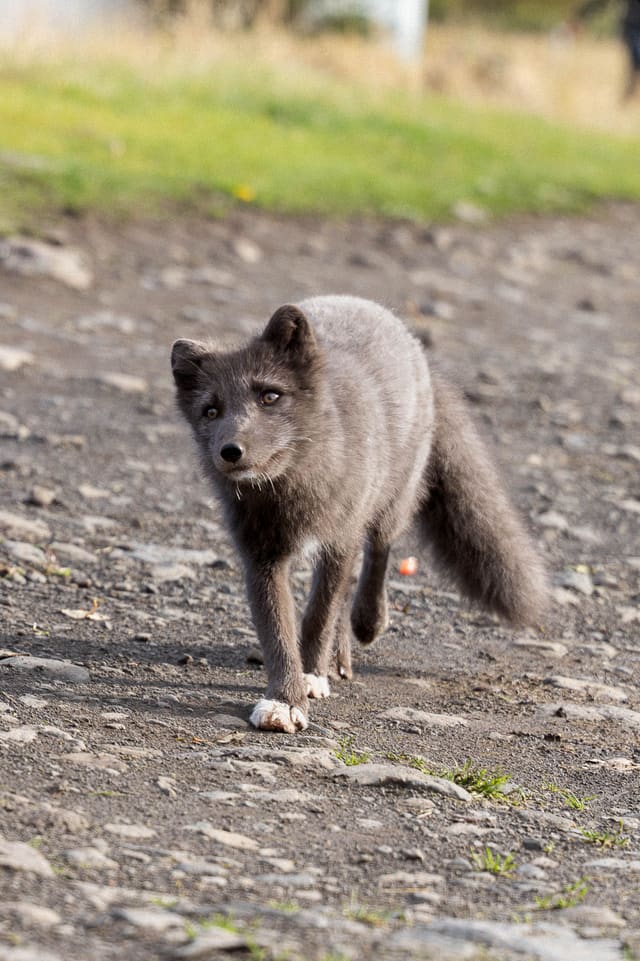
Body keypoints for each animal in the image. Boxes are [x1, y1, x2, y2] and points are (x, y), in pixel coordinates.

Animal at [171, 295, 547, 733]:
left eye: (270, 396)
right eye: (211, 411)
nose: (230, 451)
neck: (291, 488)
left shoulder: (340, 537)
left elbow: (318, 615)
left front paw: (310, 676)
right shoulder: (260, 554)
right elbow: (278, 632)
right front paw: (285, 700)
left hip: (391, 502)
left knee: (378, 553)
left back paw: (368, 622)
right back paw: (340, 658)